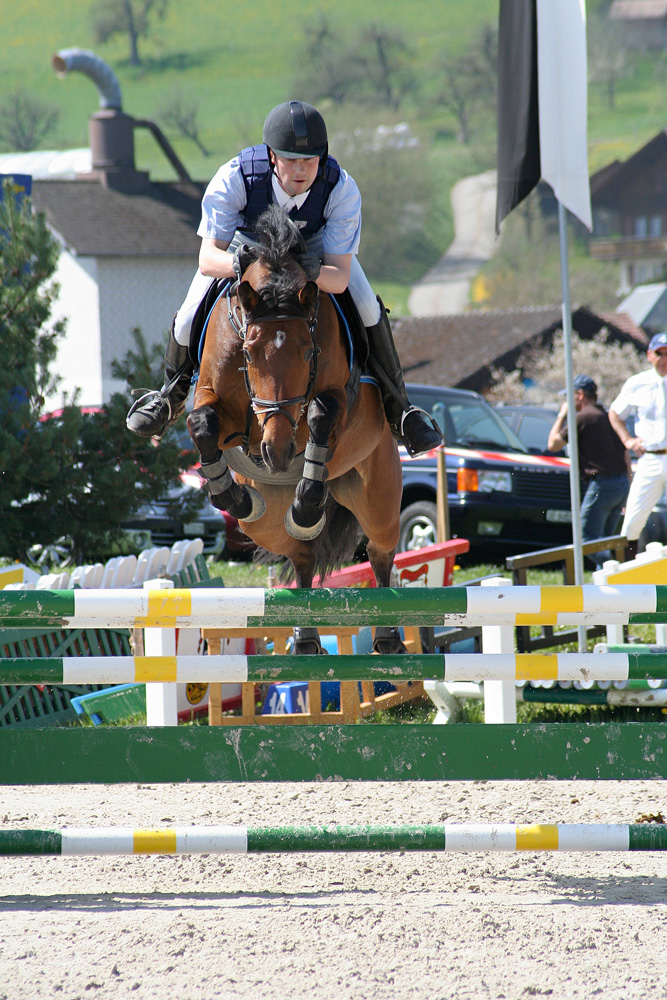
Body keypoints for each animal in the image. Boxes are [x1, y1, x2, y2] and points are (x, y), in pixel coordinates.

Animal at [185, 205, 404, 656]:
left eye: (307, 352)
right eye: (249, 353)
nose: (277, 452)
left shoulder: (336, 400)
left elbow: (320, 415)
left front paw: (306, 503)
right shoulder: (213, 397)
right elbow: (202, 424)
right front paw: (230, 496)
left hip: (377, 498)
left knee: (380, 551)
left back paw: (388, 634)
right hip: (265, 525)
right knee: (301, 555)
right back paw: (304, 637)